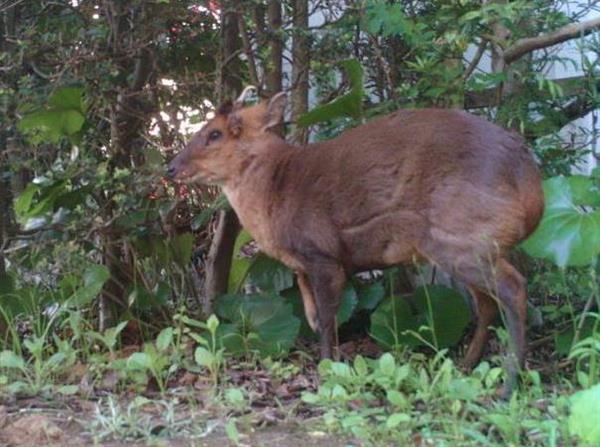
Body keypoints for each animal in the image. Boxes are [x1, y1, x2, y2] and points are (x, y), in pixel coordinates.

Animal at [166, 90, 548, 396]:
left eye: (215, 133)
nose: (171, 167)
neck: (275, 195)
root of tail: (534, 192)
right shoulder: (308, 262)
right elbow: (310, 305)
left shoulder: (324, 254)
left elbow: (329, 318)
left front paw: (328, 369)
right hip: (464, 245)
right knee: (487, 304)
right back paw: (468, 366)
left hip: (463, 235)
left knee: (513, 288)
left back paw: (510, 384)